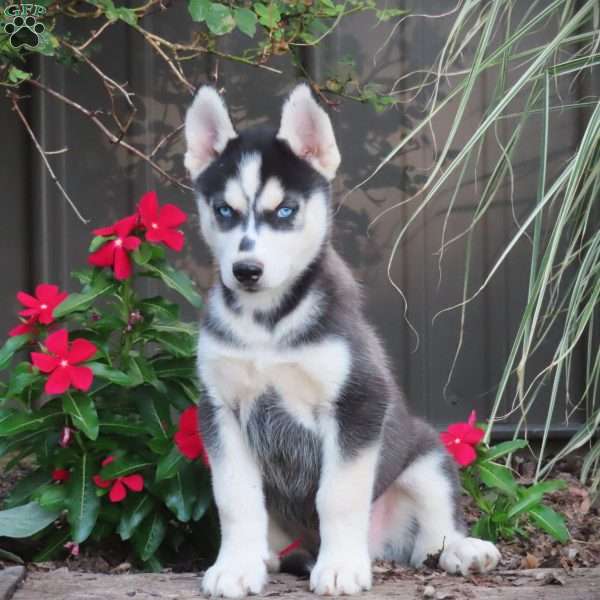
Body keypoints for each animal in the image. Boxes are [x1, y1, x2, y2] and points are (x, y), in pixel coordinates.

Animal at [184, 83, 502, 596]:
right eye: (224, 211)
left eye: (286, 210)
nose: (246, 270)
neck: (267, 325)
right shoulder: (220, 409)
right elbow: (234, 499)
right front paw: (235, 566)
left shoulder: (357, 401)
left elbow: (338, 495)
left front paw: (339, 568)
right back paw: (267, 557)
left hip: (428, 459)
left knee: (433, 536)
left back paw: (461, 550)